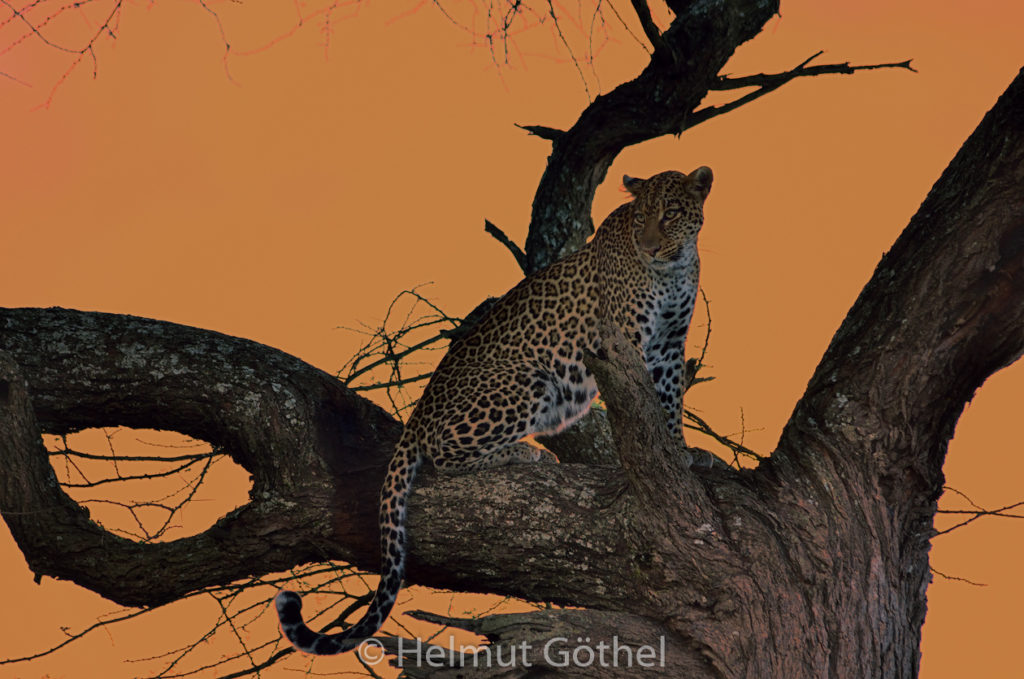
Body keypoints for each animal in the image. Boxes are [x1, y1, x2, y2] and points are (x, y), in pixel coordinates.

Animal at [275, 166, 713, 655]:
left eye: (670, 213)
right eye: (640, 219)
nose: (651, 246)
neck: (673, 269)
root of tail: (419, 411)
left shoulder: (670, 345)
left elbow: (669, 401)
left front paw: (679, 452)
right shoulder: (625, 339)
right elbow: (642, 405)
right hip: (529, 380)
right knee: (444, 454)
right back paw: (527, 452)